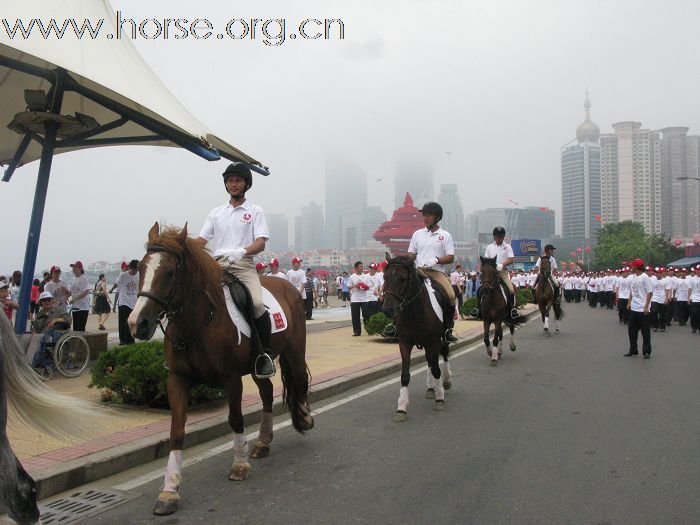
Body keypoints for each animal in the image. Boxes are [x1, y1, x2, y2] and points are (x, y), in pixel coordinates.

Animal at [129, 223, 314, 512]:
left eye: (169, 272)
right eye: (141, 269)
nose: (138, 323)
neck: (199, 321)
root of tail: (287, 284)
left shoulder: (231, 378)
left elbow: (235, 419)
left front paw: (239, 463)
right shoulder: (176, 380)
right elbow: (176, 431)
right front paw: (169, 490)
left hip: (294, 349)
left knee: (299, 381)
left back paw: (304, 419)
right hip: (259, 364)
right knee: (266, 393)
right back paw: (263, 441)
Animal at [380, 254, 452, 422]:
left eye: (402, 278)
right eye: (385, 277)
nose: (387, 309)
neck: (414, 311)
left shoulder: (433, 341)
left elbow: (437, 369)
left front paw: (440, 399)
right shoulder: (405, 343)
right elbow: (405, 375)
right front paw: (401, 407)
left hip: (441, 337)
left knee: (444, 354)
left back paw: (445, 382)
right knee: (430, 361)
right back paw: (431, 388)